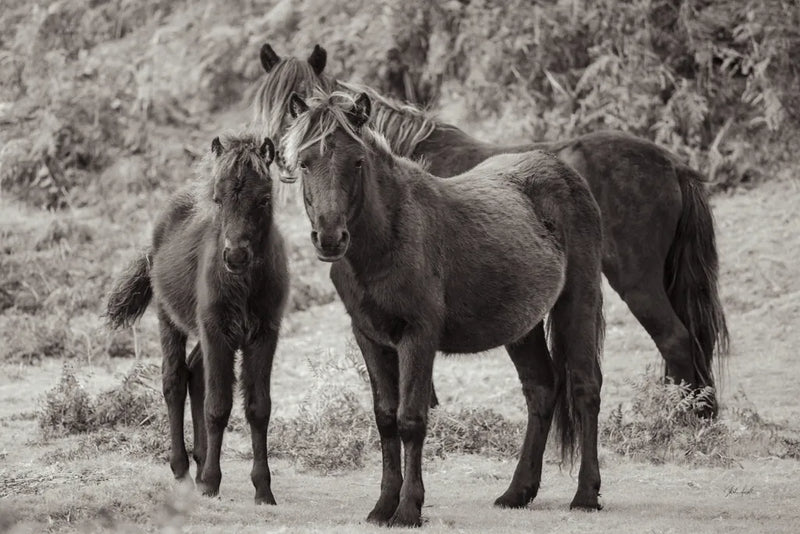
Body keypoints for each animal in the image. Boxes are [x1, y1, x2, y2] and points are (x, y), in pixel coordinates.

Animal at [106, 133, 289, 504]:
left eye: (264, 199)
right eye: (218, 200)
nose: (235, 256)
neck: (244, 284)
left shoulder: (263, 335)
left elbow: (258, 408)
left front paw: (263, 489)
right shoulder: (217, 332)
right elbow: (218, 407)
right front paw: (210, 483)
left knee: (195, 374)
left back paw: (200, 459)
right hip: (170, 319)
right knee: (175, 380)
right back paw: (182, 470)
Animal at [253, 43, 728, 416]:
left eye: (300, 101)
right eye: (270, 101)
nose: (284, 158)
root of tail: (672, 163)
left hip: (636, 282)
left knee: (676, 340)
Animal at [282, 91, 605, 527]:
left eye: (358, 161)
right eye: (304, 161)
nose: (330, 238)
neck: (389, 237)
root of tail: (563, 172)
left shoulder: (418, 337)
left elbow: (410, 420)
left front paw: (408, 509)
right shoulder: (369, 337)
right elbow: (385, 419)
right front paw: (382, 506)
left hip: (578, 302)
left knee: (586, 388)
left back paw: (586, 495)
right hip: (523, 328)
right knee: (541, 390)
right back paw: (517, 492)